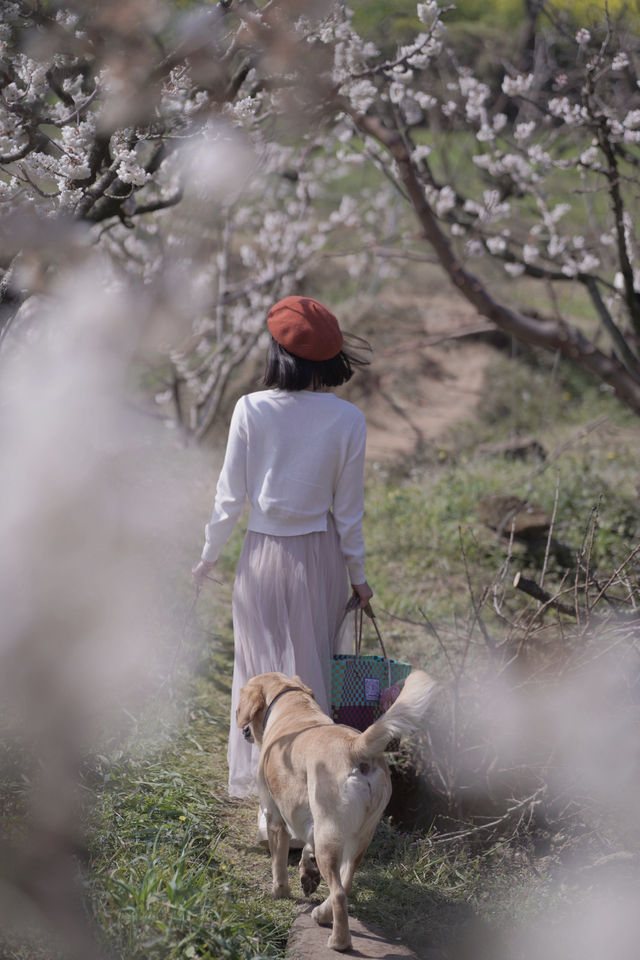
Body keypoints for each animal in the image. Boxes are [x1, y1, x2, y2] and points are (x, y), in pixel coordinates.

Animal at [238, 672, 438, 948]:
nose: (244, 731)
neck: (293, 705)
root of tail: (356, 745)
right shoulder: (308, 820)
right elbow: (306, 847)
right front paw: (308, 873)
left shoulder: (276, 817)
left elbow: (278, 863)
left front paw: (279, 891)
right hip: (357, 838)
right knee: (347, 882)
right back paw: (323, 912)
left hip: (330, 836)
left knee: (340, 893)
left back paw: (339, 941)